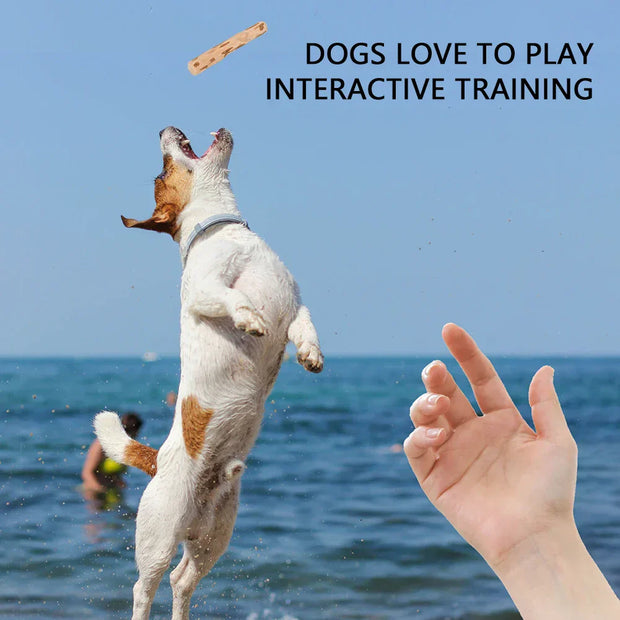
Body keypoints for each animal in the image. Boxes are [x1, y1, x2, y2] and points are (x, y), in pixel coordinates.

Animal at [94, 127, 324, 620]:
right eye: (161, 173)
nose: (166, 127)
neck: (226, 228)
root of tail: (156, 461)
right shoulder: (203, 290)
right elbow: (233, 299)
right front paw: (251, 319)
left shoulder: (295, 302)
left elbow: (305, 324)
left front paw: (311, 354)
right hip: (158, 538)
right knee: (143, 587)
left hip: (214, 538)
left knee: (182, 581)